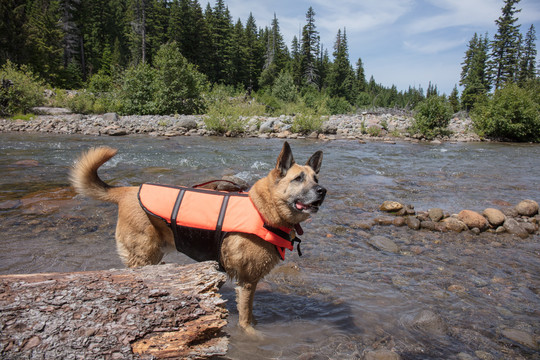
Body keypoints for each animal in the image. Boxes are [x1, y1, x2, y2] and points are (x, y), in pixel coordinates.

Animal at [70, 141, 326, 334]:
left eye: (315, 178)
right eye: (298, 179)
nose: (323, 191)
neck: (263, 209)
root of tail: (126, 191)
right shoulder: (247, 281)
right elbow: (246, 317)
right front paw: (253, 335)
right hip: (143, 256)